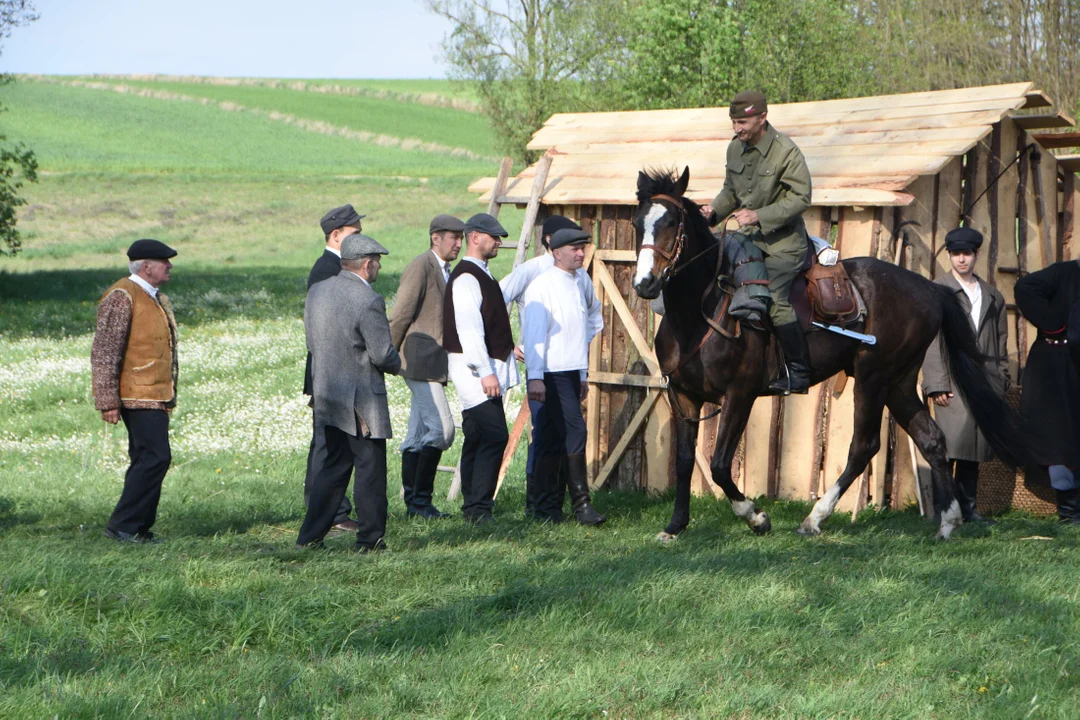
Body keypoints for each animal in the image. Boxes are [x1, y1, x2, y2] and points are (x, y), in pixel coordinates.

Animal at [630, 167, 1036, 539]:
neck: (701, 313)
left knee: (863, 446)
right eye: (637, 223)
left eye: (672, 222)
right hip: (898, 383)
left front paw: (757, 517)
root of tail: (928, 288)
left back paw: (815, 518)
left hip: (873, 380)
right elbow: (685, 461)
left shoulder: (739, 396)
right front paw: (676, 525)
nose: (645, 284)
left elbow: (717, 464)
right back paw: (948, 523)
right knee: (931, 439)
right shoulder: (683, 396)